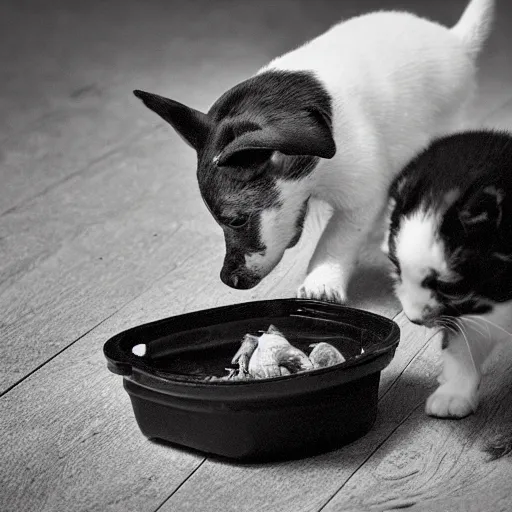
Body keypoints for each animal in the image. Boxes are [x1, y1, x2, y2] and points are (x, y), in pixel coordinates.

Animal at [134, 0, 494, 302]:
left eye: (235, 220)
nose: (229, 280)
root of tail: (455, 40)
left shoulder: (360, 199)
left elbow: (335, 238)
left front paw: (322, 280)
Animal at [384, 129, 512, 424]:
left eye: (449, 287)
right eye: (397, 269)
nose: (413, 319)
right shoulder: (463, 316)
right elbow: (461, 346)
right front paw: (455, 393)